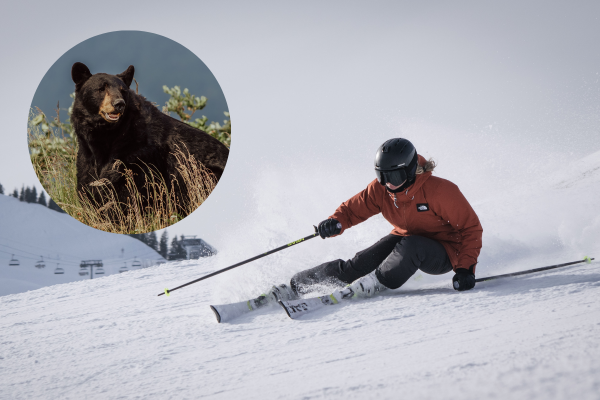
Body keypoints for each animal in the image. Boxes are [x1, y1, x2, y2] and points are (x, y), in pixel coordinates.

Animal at [70, 61, 229, 219]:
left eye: (123, 91)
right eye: (101, 89)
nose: (119, 104)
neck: (108, 135)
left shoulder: (138, 154)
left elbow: (128, 191)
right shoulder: (86, 156)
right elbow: (88, 185)